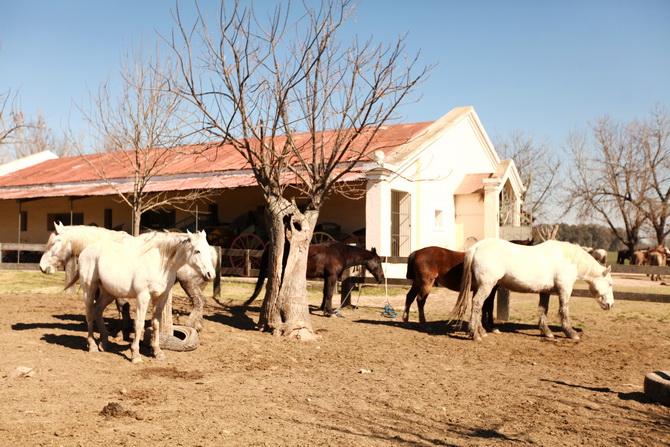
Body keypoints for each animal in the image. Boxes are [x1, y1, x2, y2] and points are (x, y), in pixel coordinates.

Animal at [71, 231, 214, 364]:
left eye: (208, 249)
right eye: (197, 251)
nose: (210, 274)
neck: (159, 264)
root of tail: (85, 252)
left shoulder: (161, 297)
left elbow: (156, 323)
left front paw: (157, 352)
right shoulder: (143, 297)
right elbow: (139, 324)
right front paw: (135, 355)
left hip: (108, 293)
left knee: (97, 310)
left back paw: (104, 343)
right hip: (89, 290)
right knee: (89, 314)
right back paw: (93, 346)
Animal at [245, 242, 384, 318]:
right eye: (378, 261)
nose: (382, 278)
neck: (340, 253)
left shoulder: (326, 277)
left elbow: (325, 293)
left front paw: (324, 309)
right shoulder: (331, 276)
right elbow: (329, 294)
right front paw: (329, 312)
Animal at [454, 240, 616, 342]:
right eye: (609, 283)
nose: (610, 304)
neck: (569, 259)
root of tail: (476, 246)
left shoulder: (545, 291)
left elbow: (543, 310)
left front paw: (547, 332)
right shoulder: (565, 289)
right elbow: (564, 311)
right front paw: (571, 333)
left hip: (480, 286)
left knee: (478, 305)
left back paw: (481, 331)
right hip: (487, 285)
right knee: (477, 304)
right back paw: (475, 334)